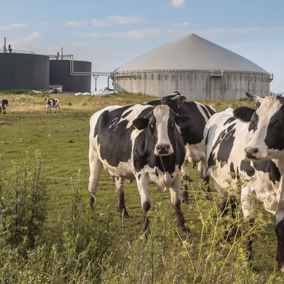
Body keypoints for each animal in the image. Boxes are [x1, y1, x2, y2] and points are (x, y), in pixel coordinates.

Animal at [87, 103, 192, 234]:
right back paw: (91, 210)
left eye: (172, 124)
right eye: (151, 125)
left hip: (119, 170)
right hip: (94, 156)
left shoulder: (176, 174)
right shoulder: (140, 174)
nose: (163, 147)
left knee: (120, 189)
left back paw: (123, 212)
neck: (163, 164)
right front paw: (144, 230)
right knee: (93, 184)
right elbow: (146, 204)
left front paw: (183, 227)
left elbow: (176, 202)